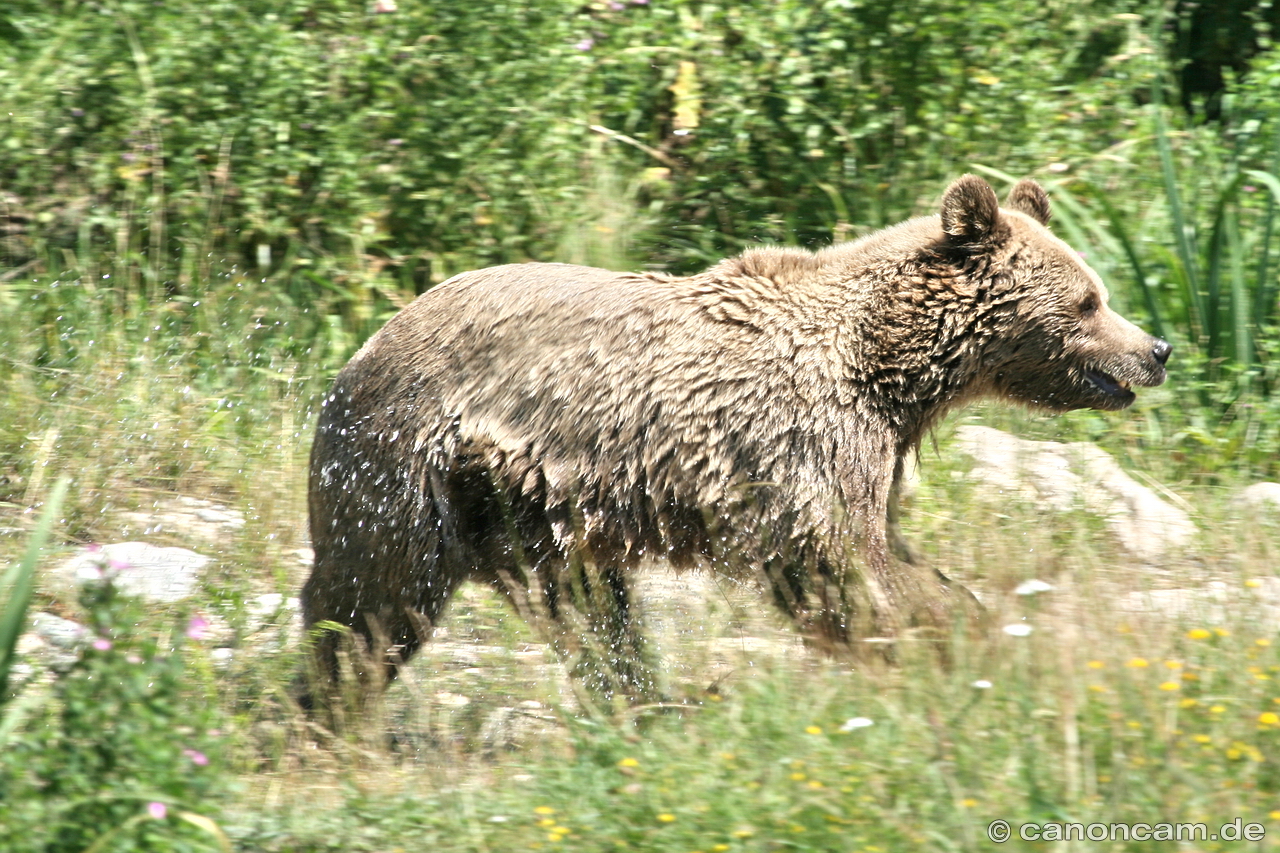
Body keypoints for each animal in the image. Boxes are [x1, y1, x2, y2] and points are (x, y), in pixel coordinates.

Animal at [299, 174, 1172, 696]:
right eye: (1089, 300)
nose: (1156, 349)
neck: (893, 368)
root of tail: (357, 354)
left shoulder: (874, 450)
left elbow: (892, 546)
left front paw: (969, 627)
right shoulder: (802, 439)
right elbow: (839, 560)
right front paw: (924, 645)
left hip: (526, 507)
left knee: (590, 610)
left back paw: (643, 703)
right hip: (410, 466)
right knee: (371, 599)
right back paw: (328, 702)